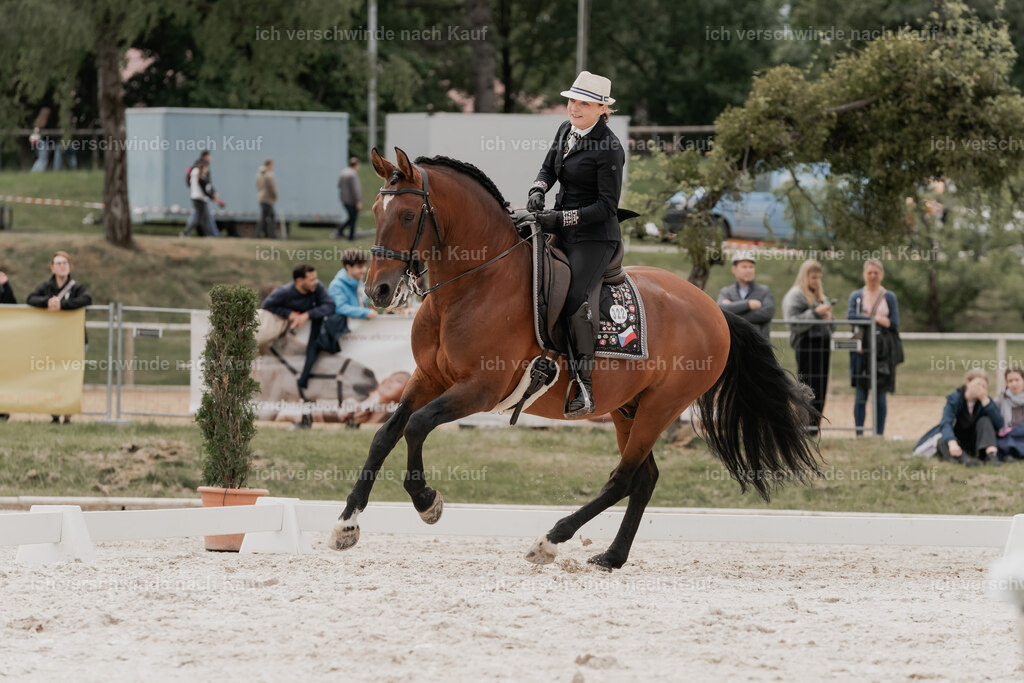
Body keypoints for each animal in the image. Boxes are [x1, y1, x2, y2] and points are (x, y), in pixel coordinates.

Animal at [328, 147, 822, 570]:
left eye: (409, 215)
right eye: (376, 212)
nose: (378, 291)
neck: (473, 284)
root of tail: (714, 309)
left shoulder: (480, 389)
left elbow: (416, 426)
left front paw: (427, 502)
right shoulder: (428, 376)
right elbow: (385, 434)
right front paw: (347, 524)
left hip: (662, 405)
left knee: (623, 478)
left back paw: (550, 541)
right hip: (627, 407)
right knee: (644, 478)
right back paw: (611, 557)